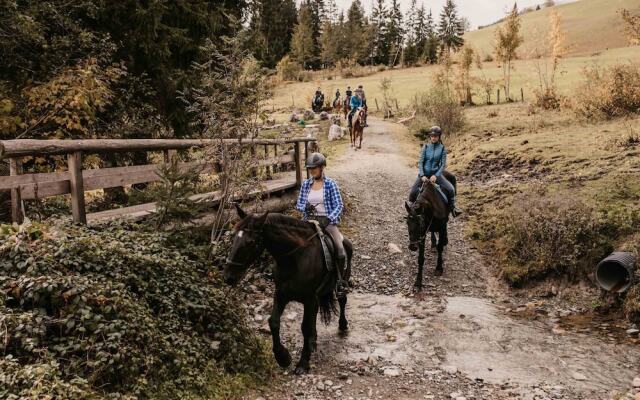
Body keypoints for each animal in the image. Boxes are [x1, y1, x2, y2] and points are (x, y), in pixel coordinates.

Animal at [222, 206, 352, 376]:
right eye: (233, 238)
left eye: (250, 242)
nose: (228, 277)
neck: (296, 257)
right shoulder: (281, 294)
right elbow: (273, 322)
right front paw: (283, 358)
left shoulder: (309, 298)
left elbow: (305, 327)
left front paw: (303, 363)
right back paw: (313, 341)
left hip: (342, 279)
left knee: (342, 299)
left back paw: (343, 326)